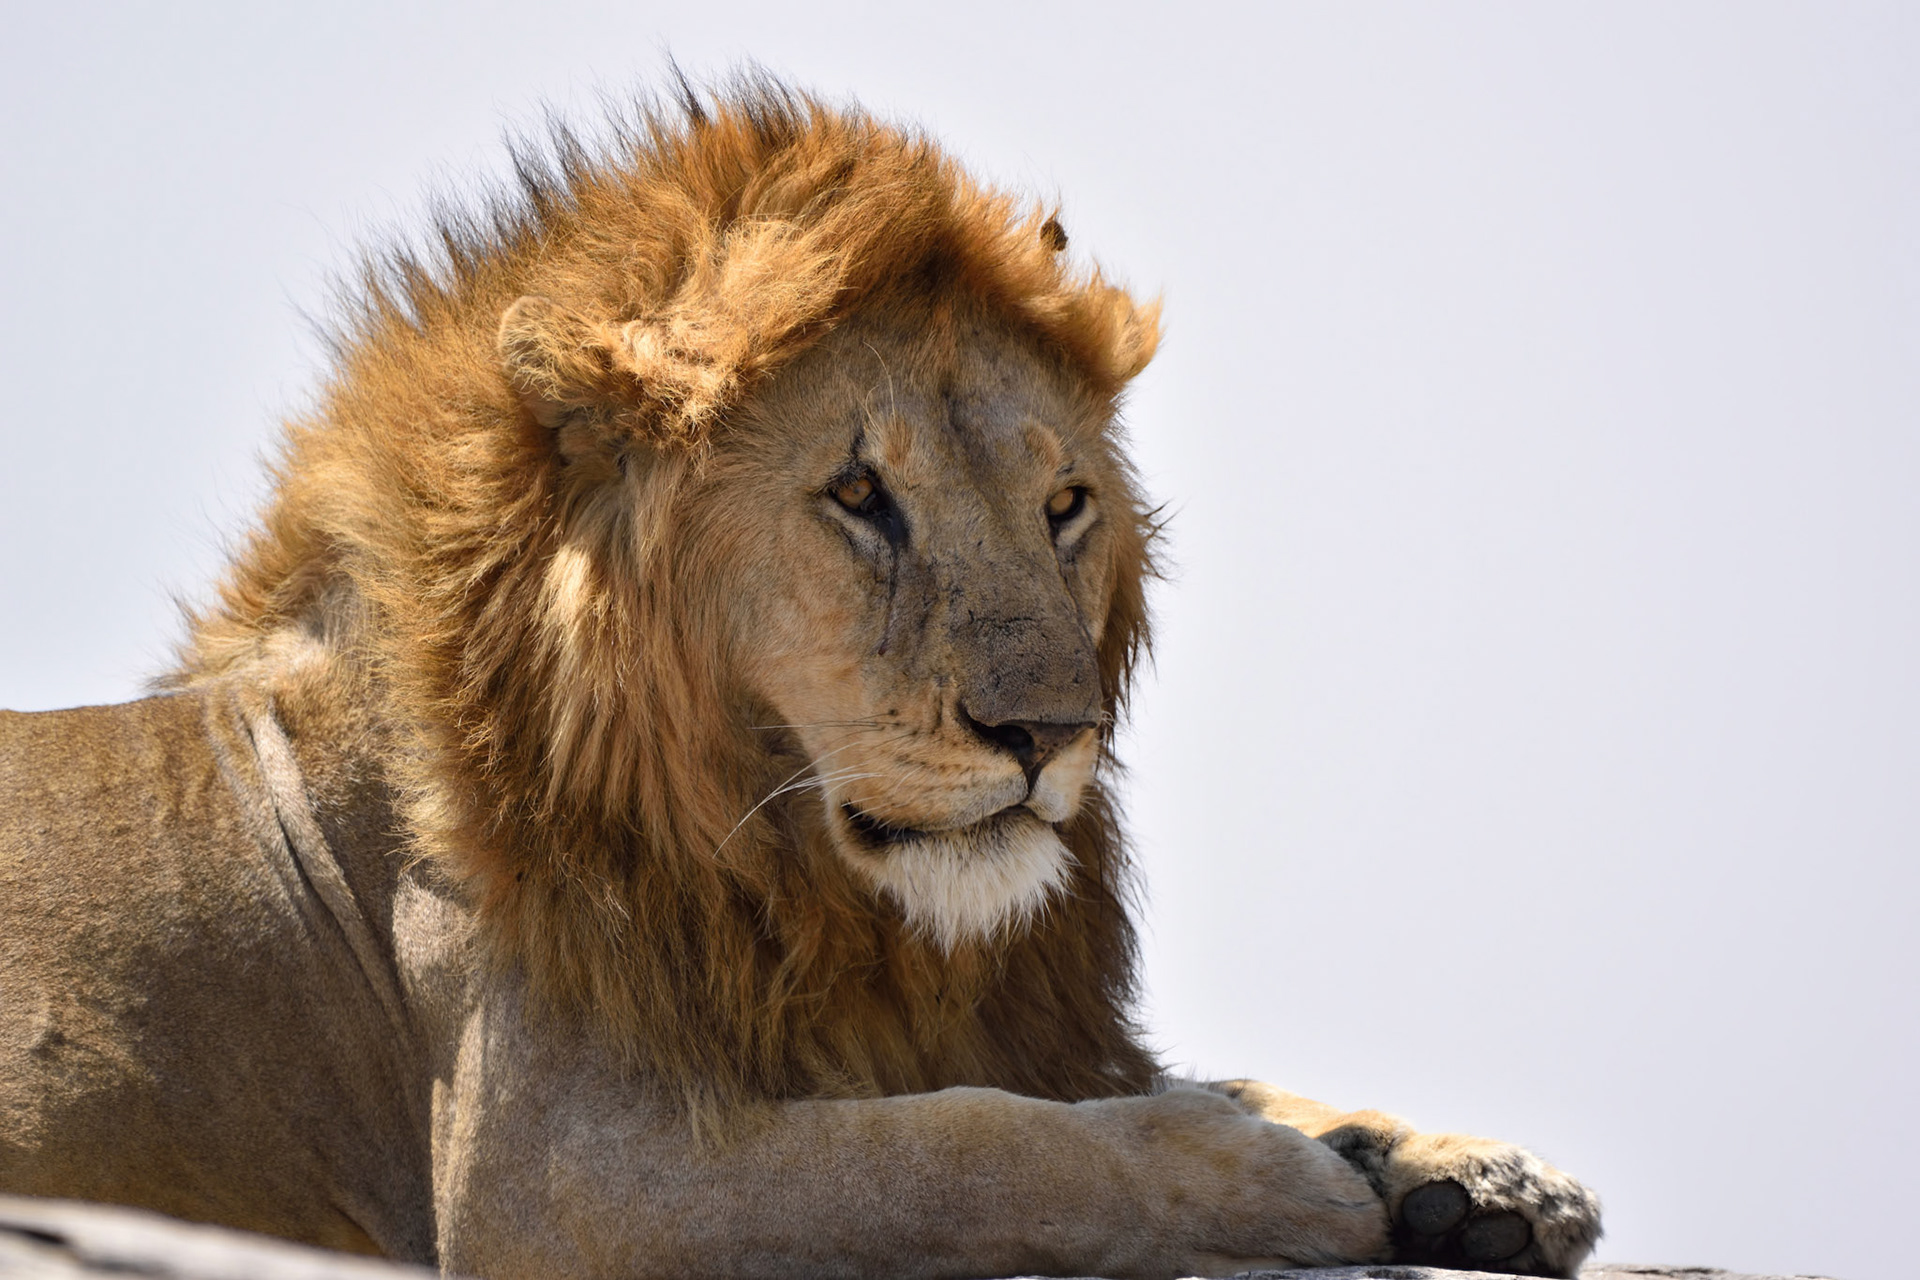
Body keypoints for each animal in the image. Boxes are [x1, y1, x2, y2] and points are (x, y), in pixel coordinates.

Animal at [0, 80, 1601, 1279]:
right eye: (858, 495)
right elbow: (979, 1145)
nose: (1051, 732)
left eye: (1064, 506)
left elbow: (1148, 1078)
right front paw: (1280, 1177)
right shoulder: (562, 1180)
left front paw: (1469, 1171)